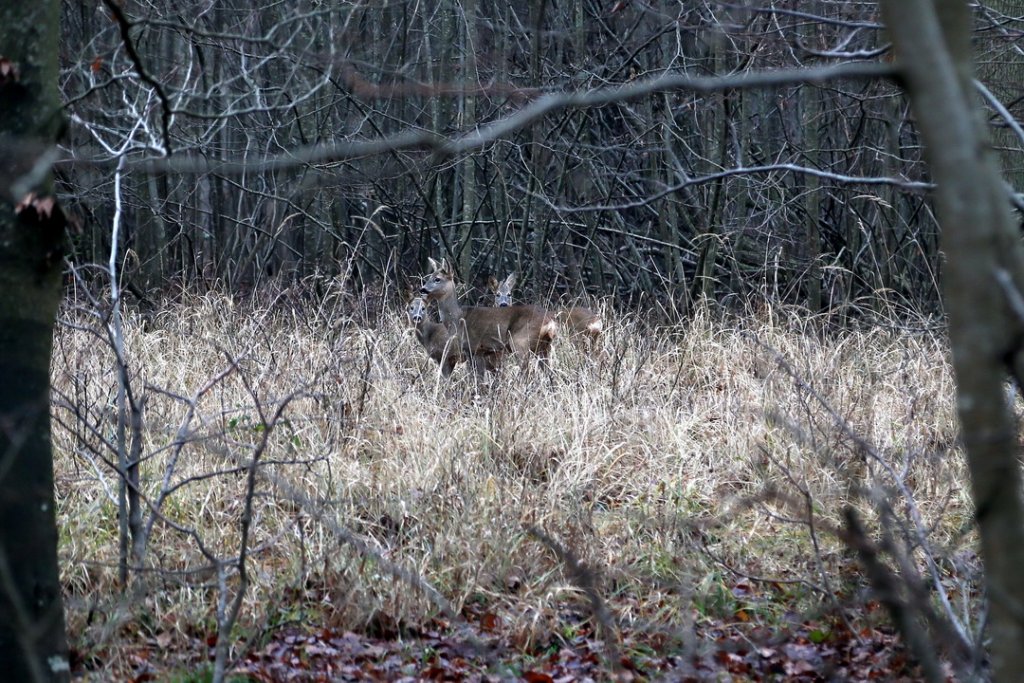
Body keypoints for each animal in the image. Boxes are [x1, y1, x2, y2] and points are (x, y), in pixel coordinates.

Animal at [419, 258, 557, 374]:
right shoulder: (481, 352)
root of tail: (549, 320)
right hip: (545, 346)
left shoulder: (472, 347)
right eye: (429, 277)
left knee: (527, 372)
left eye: (437, 279)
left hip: (520, 341)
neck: (457, 319)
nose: (422, 289)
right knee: (550, 373)